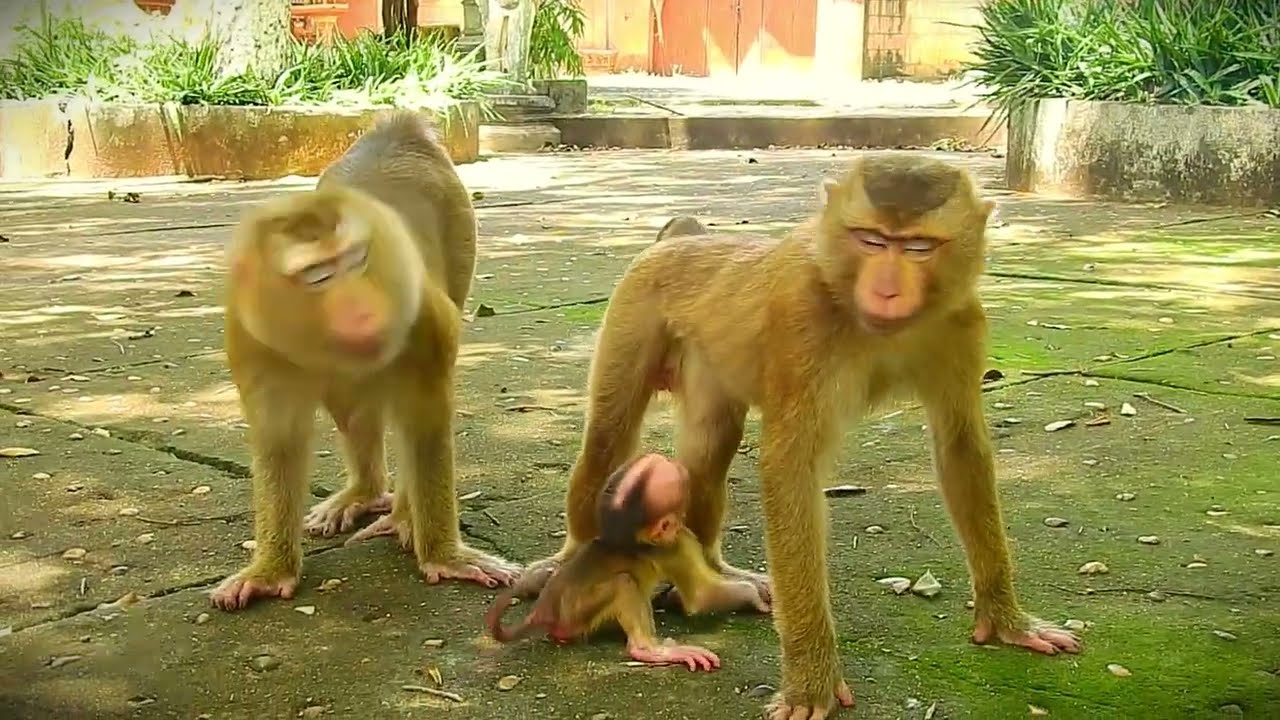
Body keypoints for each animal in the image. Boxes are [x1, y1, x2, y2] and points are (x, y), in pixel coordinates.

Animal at [210, 112, 519, 611]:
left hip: (459, 229)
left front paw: (442, 552)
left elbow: (424, 422)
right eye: (318, 276)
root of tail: (400, 129)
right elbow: (280, 442)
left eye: (357, 260)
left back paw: (401, 514)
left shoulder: (423, 322)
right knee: (351, 408)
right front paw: (269, 570)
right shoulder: (252, 340)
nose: (364, 306)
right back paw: (363, 493)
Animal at [484, 453, 770, 671]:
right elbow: (701, 597)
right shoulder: (679, 543)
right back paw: (646, 649)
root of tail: (544, 610)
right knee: (624, 582)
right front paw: (756, 595)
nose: (678, 463)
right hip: (577, 614)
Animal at [517, 153, 1082, 719]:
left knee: (710, 449)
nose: (888, 289)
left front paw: (1008, 620)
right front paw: (812, 681)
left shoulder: (961, 321)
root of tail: (683, 240)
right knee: (607, 439)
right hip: (634, 313)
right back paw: (569, 562)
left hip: (705, 362)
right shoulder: (802, 317)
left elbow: (961, 446)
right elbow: (791, 468)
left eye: (919, 247)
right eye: (871, 239)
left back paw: (716, 572)